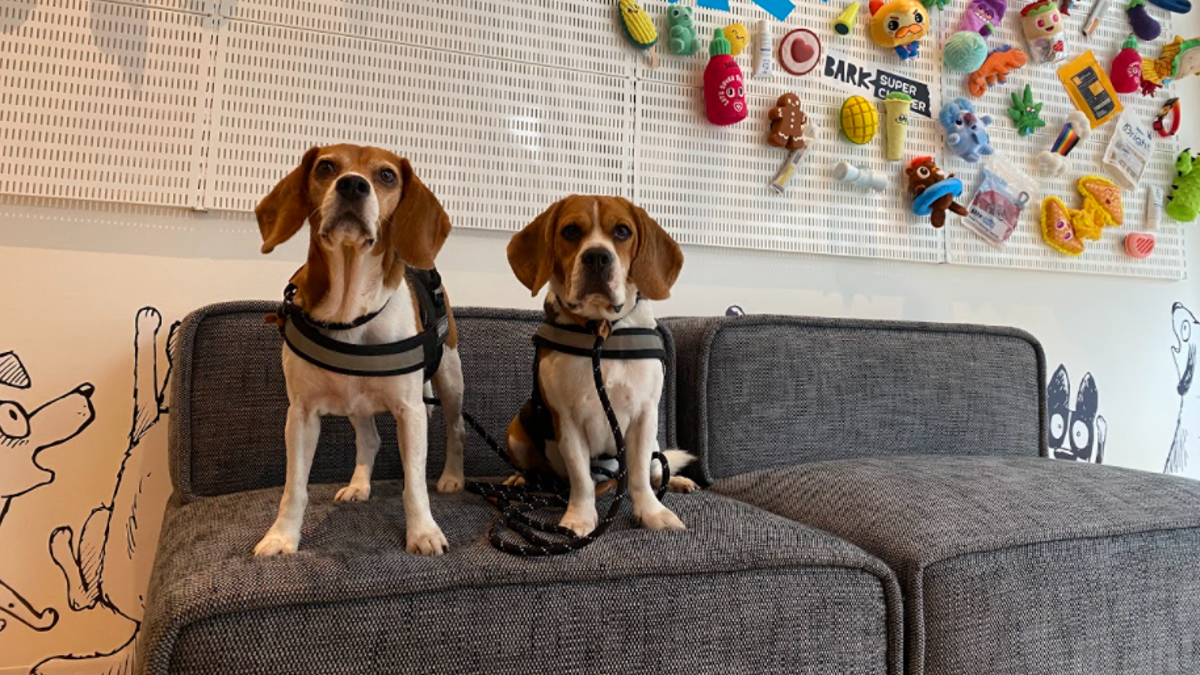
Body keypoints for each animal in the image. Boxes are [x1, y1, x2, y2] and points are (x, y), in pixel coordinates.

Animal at [252, 144, 463, 554]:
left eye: (386, 175)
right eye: (325, 167)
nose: (352, 185)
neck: (350, 313)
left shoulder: (410, 412)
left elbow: (415, 486)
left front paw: (424, 533)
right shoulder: (300, 415)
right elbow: (294, 488)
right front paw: (281, 537)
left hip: (450, 377)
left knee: (455, 429)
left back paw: (452, 477)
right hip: (356, 403)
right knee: (370, 438)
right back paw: (359, 484)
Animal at [504, 194, 700, 535]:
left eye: (622, 231)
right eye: (570, 231)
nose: (597, 257)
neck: (601, 330)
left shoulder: (645, 416)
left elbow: (639, 476)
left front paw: (651, 511)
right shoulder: (567, 420)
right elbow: (581, 479)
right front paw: (579, 518)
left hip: (653, 441)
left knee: (653, 470)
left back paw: (674, 480)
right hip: (517, 428)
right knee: (539, 472)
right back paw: (520, 479)